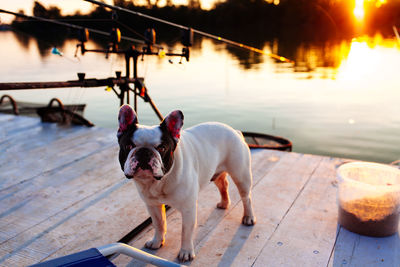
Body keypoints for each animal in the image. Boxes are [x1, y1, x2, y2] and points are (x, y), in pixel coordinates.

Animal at [117, 105, 255, 264]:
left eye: (162, 148)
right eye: (128, 146)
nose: (144, 152)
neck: (159, 181)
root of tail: (235, 131)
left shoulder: (188, 209)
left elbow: (186, 232)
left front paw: (186, 252)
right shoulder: (152, 205)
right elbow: (159, 224)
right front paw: (157, 242)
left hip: (241, 175)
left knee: (246, 197)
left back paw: (248, 217)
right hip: (216, 173)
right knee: (223, 186)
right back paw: (224, 203)